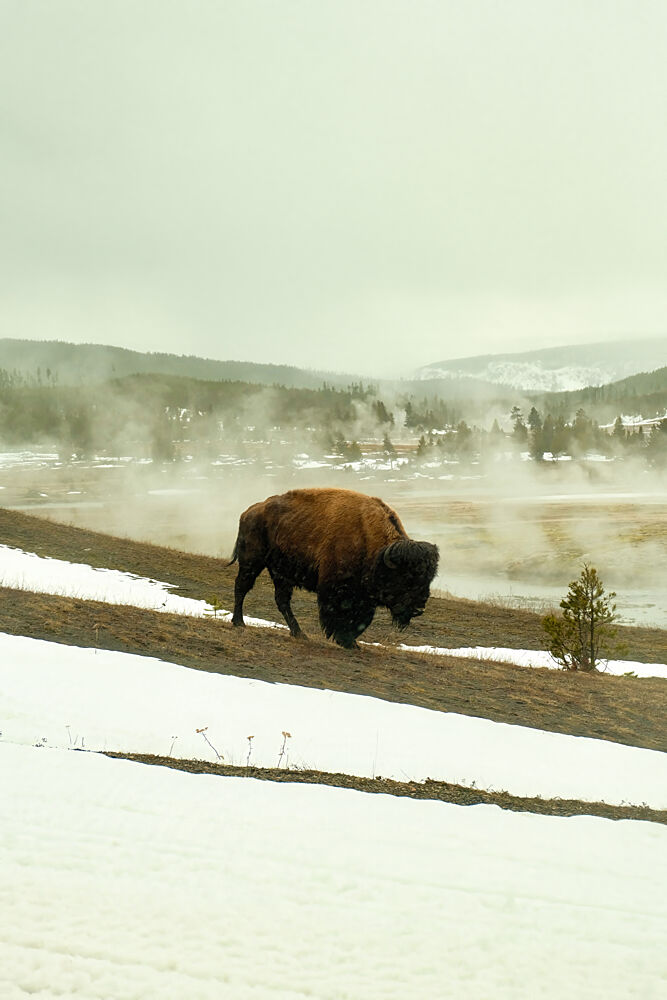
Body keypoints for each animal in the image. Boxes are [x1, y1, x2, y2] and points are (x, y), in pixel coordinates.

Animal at [230, 487, 439, 648]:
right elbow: (339, 615)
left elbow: (364, 620)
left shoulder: (364, 598)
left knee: (282, 601)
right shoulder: (335, 590)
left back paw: (299, 633)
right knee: (242, 587)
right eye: (407, 577)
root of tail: (249, 512)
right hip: (252, 562)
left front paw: (351, 642)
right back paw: (239, 623)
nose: (419, 608)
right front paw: (343, 639)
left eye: (429, 578)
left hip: (281, 573)